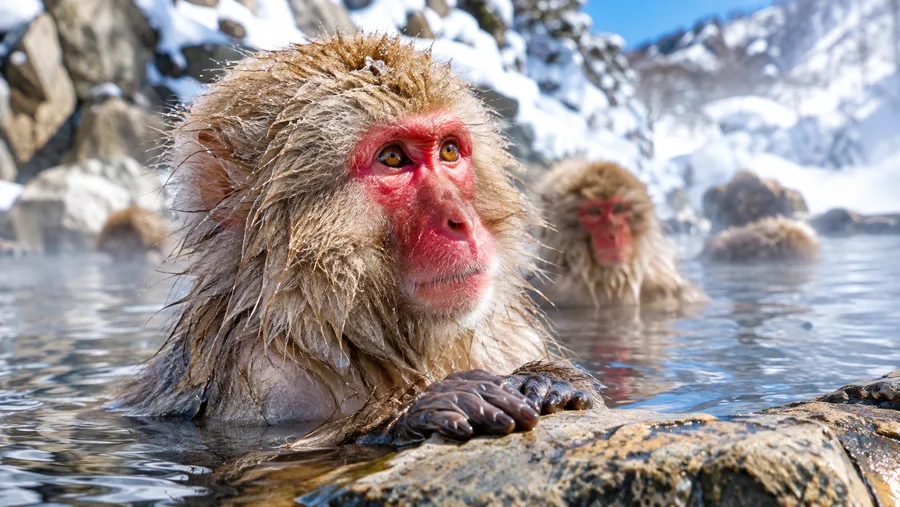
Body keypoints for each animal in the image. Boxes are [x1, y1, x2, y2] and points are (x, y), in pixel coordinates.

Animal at [114, 34, 597, 445]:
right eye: (393, 158)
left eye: (449, 151)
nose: (462, 220)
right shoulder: (266, 378)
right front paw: (435, 406)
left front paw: (546, 380)